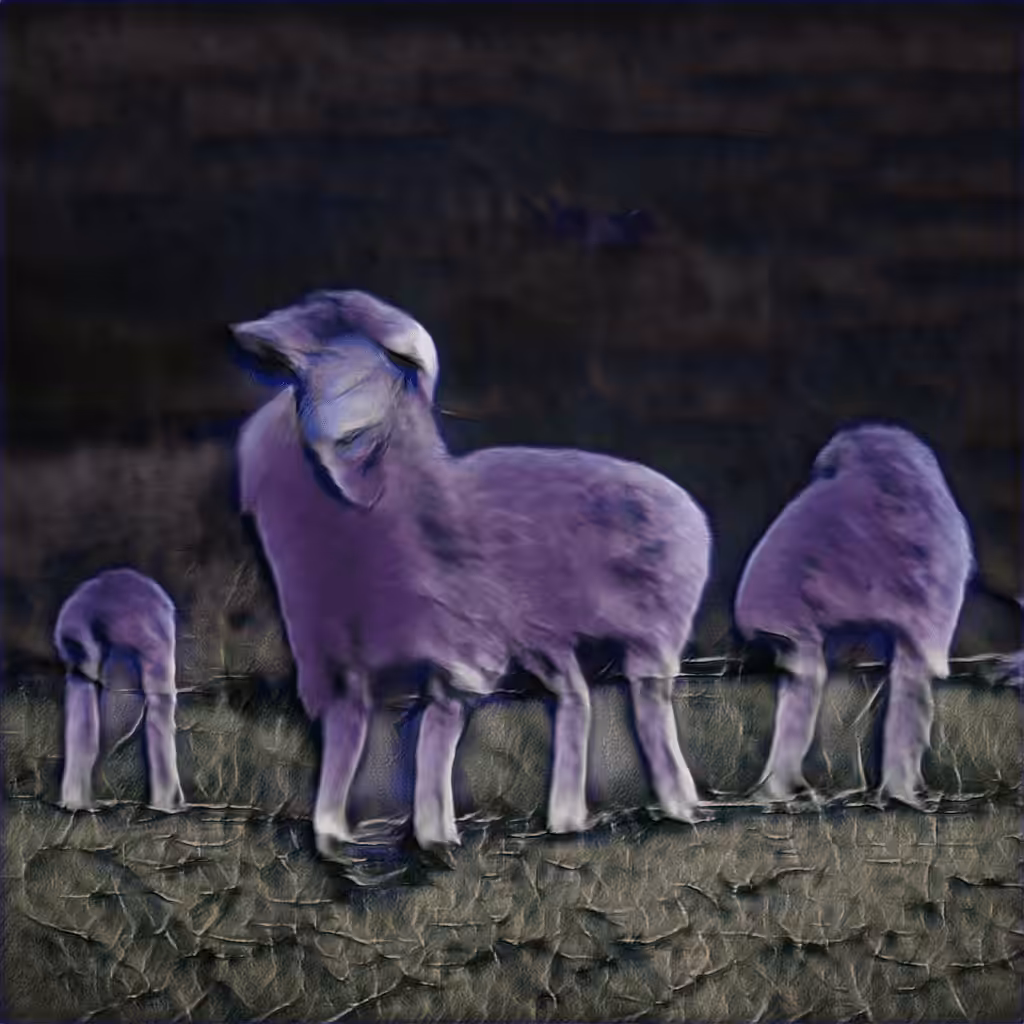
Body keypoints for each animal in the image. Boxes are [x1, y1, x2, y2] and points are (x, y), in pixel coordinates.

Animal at [231, 289, 712, 853]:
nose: (247, 335)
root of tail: (680, 497)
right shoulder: (335, 661)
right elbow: (345, 747)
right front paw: (332, 837)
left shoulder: (455, 656)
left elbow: (434, 741)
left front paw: (435, 839)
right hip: (546, 642)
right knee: (575, 698)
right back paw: (567, 819)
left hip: (650, 640)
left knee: (649, 704)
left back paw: (678, 806)